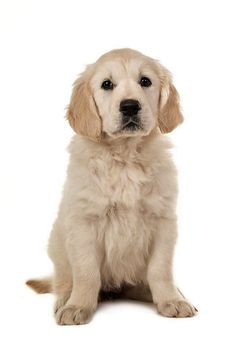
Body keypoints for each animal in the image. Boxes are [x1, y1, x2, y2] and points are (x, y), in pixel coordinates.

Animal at [26, 48, 197, 324]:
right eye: (107, 84)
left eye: (145, 81)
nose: (130, 106)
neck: (125, 156)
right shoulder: (84, 223)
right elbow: (86, 272)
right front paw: (78, 306)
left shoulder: (163, 221)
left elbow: (160, 270)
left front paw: (171, 300)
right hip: (57, 244)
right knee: (63, 281)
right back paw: (65, 299)